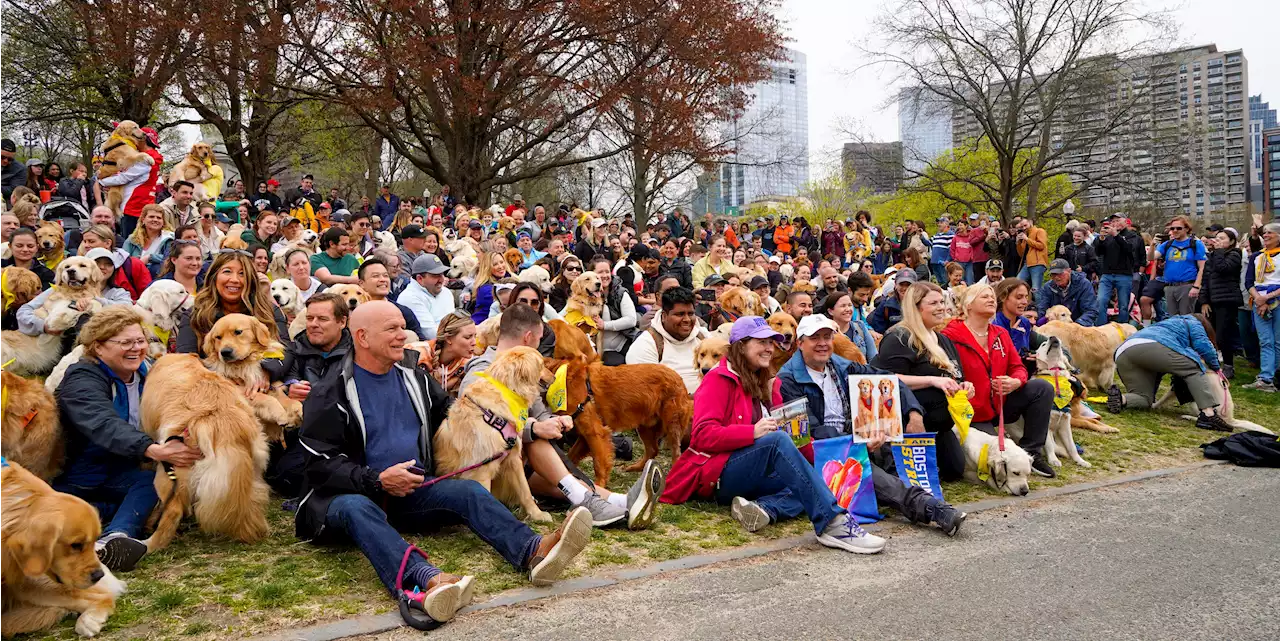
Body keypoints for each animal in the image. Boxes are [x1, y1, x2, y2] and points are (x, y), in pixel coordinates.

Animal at [204, 310, 304, 442]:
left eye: (238, 332)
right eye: (218, 337)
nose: (225, 352)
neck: (245, 362)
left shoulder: (272, 387)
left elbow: (289, 400)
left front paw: (298, 411)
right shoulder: (240, 391)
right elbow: (266, 398)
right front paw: (281, 415)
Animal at [432, 345, 552, 519]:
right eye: (542, 364)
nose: (554, 376)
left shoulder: (513, 458)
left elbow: (525, 491)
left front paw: (537, 514)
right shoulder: (480, 469)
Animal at [547, 355, 696, 483]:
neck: (562, 380)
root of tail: (679, 378)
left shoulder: (596, 433)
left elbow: (599, 465)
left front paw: (599, 486)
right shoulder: (585, 435)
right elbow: (569, 458)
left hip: (672, 425)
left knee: (676, 453)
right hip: (644, 425)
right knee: (653, 449)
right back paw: (637, 468)